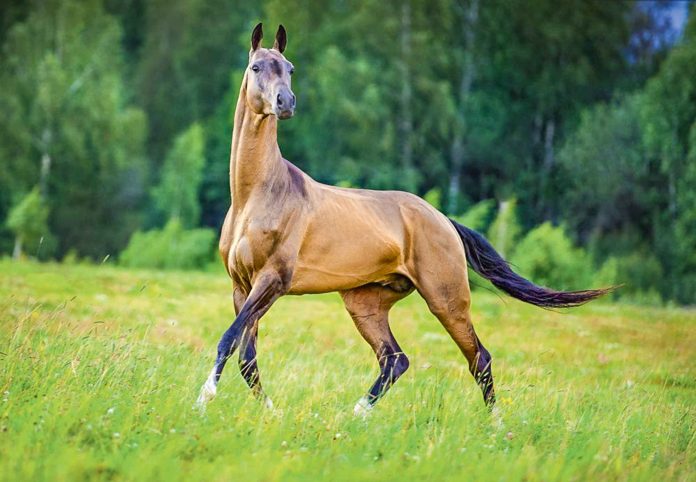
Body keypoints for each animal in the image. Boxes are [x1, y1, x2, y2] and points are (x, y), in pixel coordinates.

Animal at [196, 23, 611, 416]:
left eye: (290, 68)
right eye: (256, 66)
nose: (286, 102)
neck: (258, 196)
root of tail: (444, 221)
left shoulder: (272, 281)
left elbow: (229, 340)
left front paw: (204, 400)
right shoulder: (242, 286)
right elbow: (246, 355)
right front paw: (270, 411)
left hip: (446, 300)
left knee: (478, 358)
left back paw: (497, 427)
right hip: (365, 304)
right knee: (394, 360)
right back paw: (354, 415)